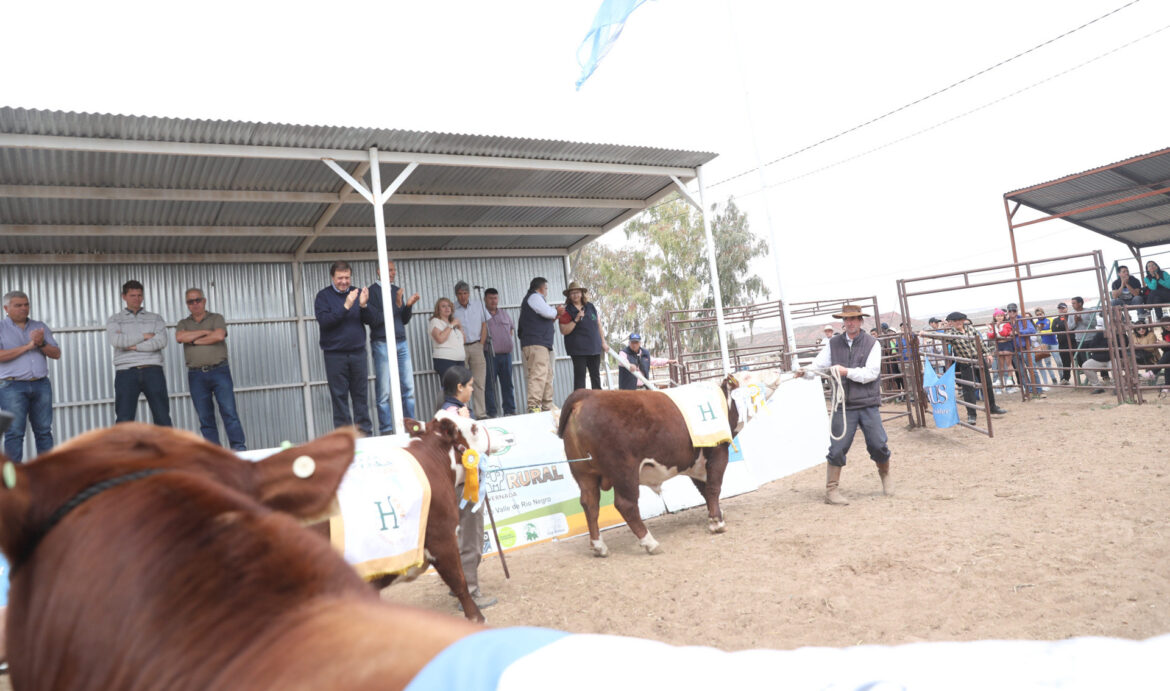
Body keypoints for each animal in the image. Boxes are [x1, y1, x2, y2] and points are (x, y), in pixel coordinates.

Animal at [556, 374, 739, 556]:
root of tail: (587, 394)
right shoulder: (718, 451)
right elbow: (713, 487)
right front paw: (717, 523)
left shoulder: (694, 462)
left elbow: (704, 488)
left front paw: (717, 513)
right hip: (624, 471)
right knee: (626, 504)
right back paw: (650, 542)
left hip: (584, 473)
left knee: (590, 503)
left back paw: (598, 546)